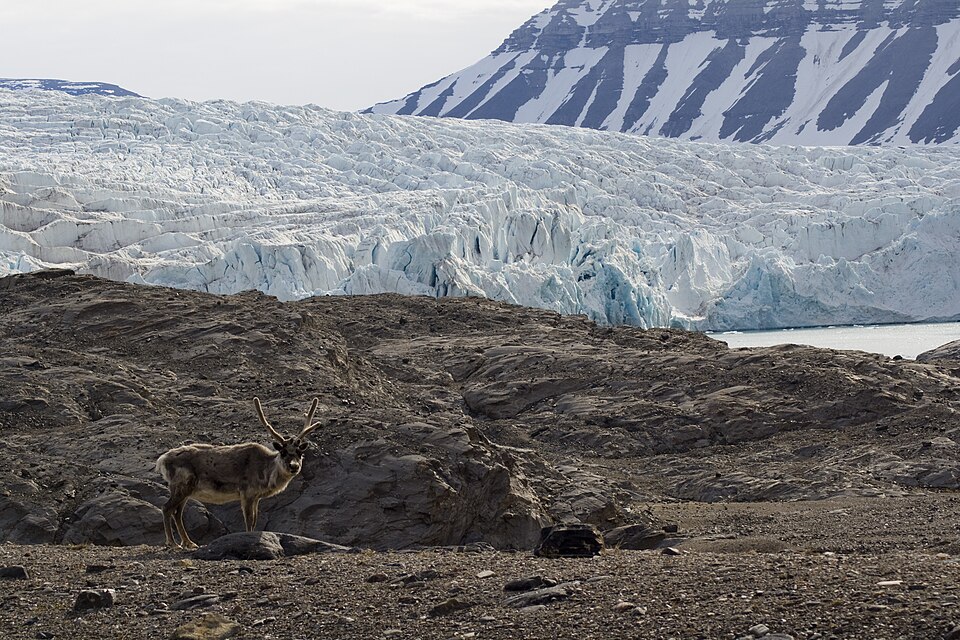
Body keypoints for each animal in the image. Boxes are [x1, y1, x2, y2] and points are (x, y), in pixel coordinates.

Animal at [155, 397, 324, 549]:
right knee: (167, 508)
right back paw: (173, 543)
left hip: (186, 490)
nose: (294, 466)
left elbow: (255, 520)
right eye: (283, 452)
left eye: (300, 453)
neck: (266, 472)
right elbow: (249, 520)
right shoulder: (247, 493)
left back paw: (189, 542)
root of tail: (162, 460)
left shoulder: (256, 497)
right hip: (181, 485)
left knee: (177, 512)